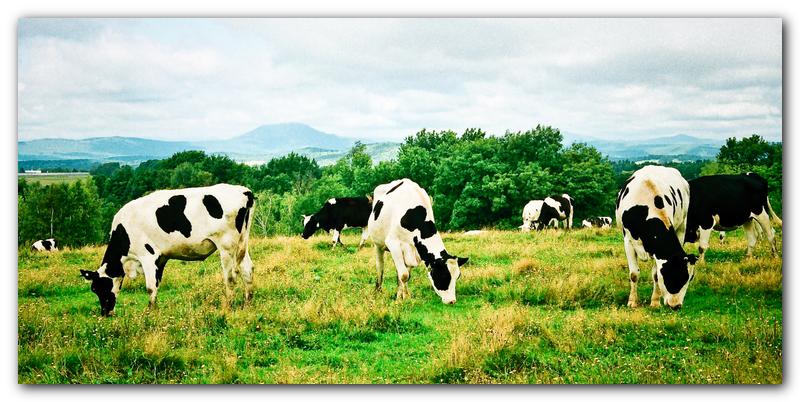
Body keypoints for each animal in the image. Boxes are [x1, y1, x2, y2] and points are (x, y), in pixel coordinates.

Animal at [77, 183, 253, 318]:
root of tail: (244, 191)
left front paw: (149, 312)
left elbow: (149, 286)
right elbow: (156, 284)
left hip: (226, 246)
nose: (105, 313)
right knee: (247, 270)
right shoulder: (160, 258)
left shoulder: (147, 255)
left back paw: (228, 307)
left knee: (230, 278)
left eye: (97, 288)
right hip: (242, 244)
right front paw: (155, 309)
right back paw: (247, 304)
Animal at [616, 165, 696, 310]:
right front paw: (632, 301)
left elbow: (655, 275)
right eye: (672, 274)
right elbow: (634, 274)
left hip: (682, 225)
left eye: (689, 278)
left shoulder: (657, 250)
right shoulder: (628, 241)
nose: (676, 305)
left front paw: (654, 302)